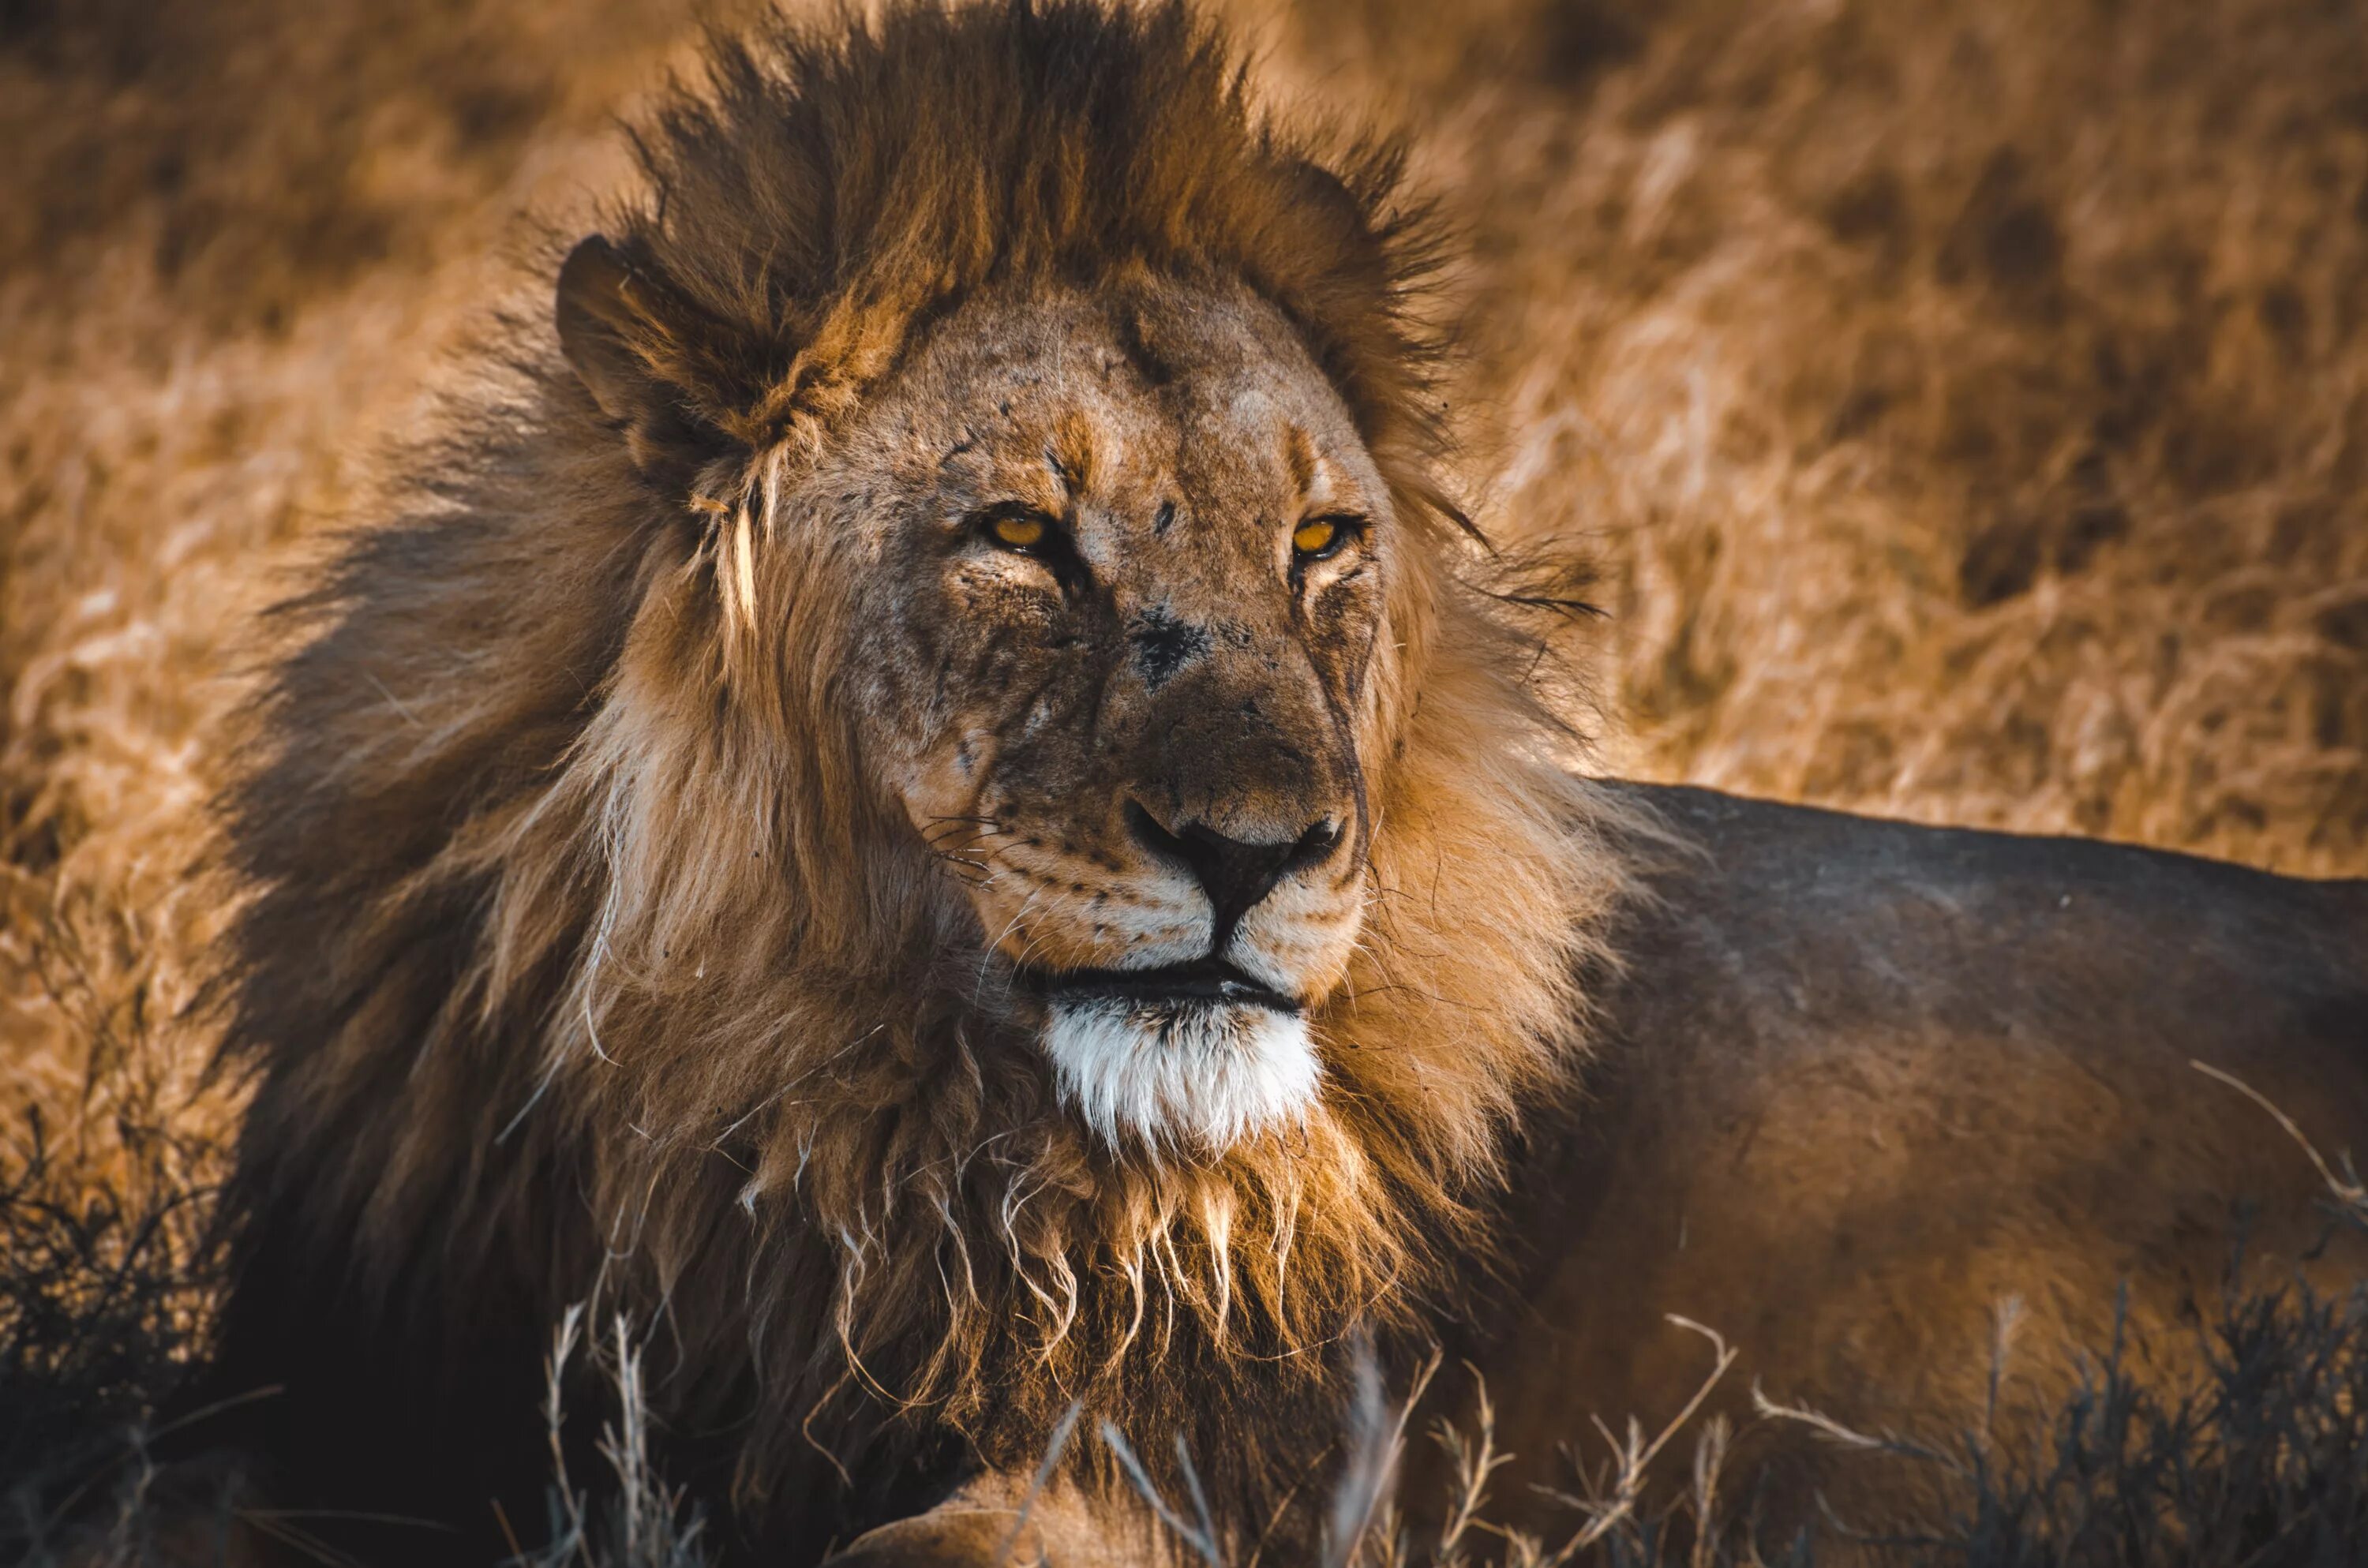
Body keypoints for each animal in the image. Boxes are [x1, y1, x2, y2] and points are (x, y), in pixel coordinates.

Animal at [204, 2, 2368, 1568]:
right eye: (1019, 536)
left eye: (1320, 541)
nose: (1262, 853)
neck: (811, 1107)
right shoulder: (345, 1404)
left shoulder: (1213, 1463)